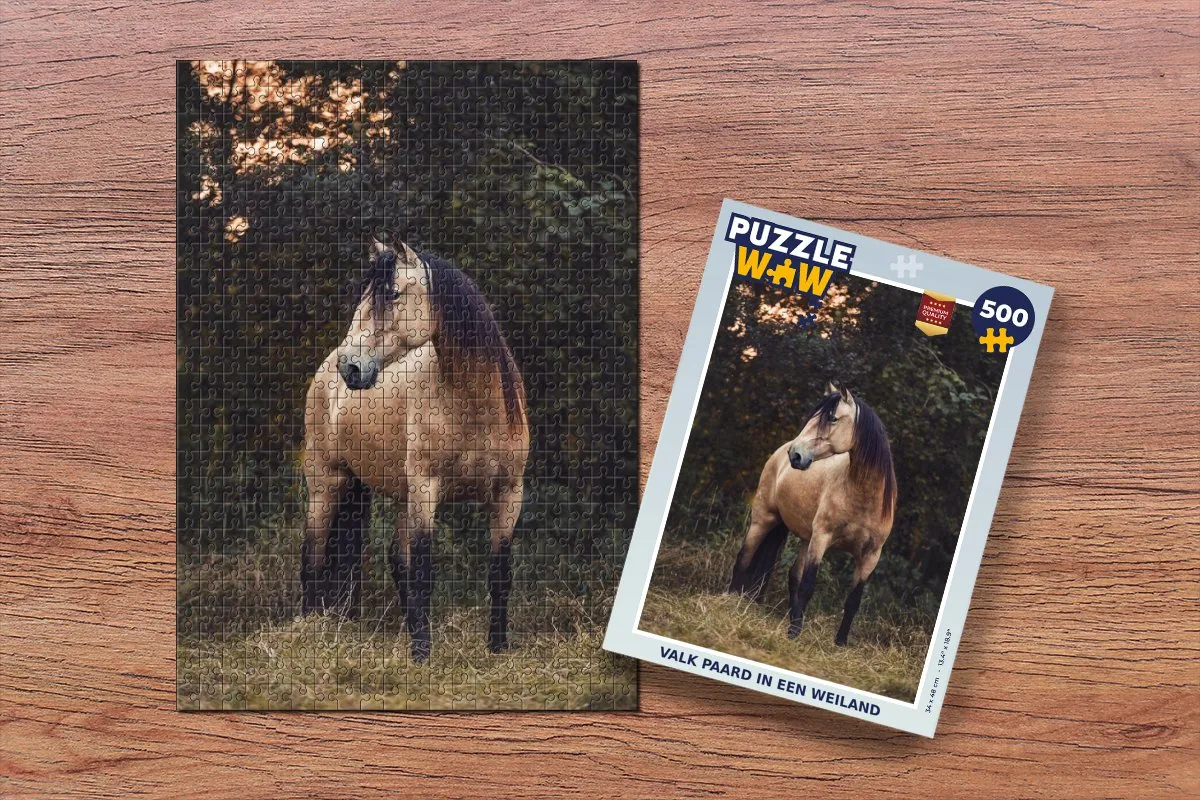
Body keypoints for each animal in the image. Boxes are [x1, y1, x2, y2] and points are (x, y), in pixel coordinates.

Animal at [300, 239, 529, 663]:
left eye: (392, 294)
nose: (350, 367)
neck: (473, 404)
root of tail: (324, 372)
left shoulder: (509, 493)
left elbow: (499, 573)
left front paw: (497, 647)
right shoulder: (426, 490)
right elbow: (423, 572)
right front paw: (423, 654)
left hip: (398, 494)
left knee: (395, 558)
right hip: (327, 485)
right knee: (313, 555)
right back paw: (306, 629)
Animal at [729, 384, 896, 646]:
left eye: (833, 418)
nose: (795, 455)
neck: (864, 497)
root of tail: (778, 454)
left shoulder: (870, 555)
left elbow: (853, 600)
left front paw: (840, 643)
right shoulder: (821, 539)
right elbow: (808, 585)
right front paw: (795, 633)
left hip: (804, 539)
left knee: (793, 576)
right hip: (763, 521)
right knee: (744, 558)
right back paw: (730, 600)